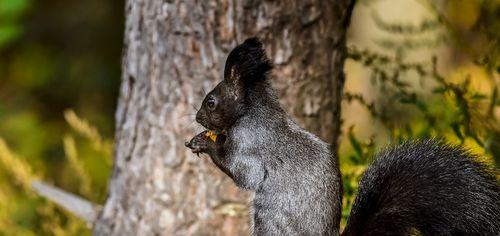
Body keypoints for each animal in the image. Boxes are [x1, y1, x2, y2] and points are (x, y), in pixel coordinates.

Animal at [185, 37, 500, 235]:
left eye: (211, 101)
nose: (198, 117)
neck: (254, 110)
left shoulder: (251, 142)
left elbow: (242, 173)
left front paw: (204, 142)